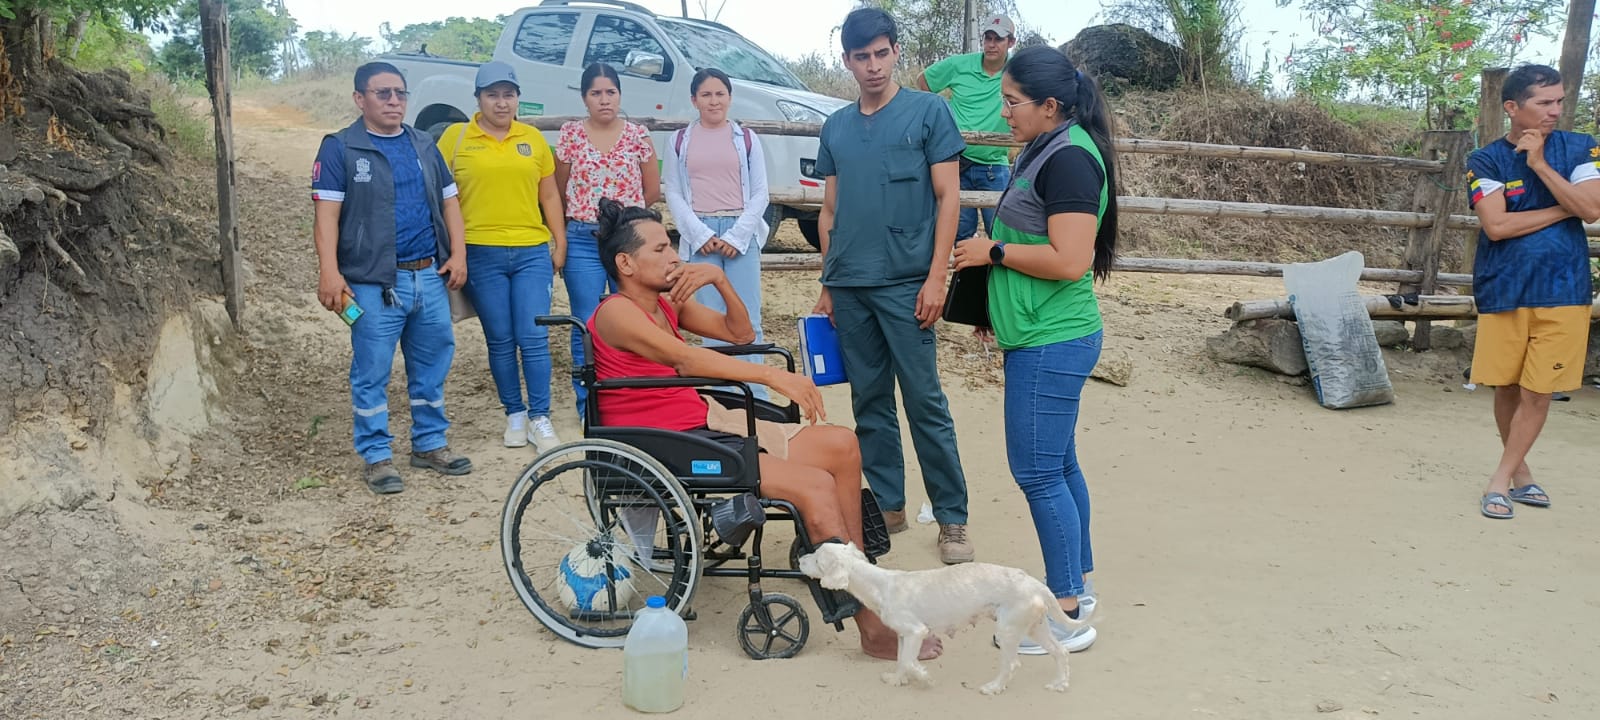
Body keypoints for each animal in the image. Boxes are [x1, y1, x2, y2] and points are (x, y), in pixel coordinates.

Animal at [797, 542, 1087, 695]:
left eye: (817, 559)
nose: (799, 559)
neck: (881, 585)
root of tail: (1034, 583)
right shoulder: (903, 635)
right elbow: (901, 660)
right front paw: (897, 679)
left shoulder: (916, 632)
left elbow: (910, 661)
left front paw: (924, 678)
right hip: (1035, 627)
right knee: (1060, 652)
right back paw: (1060, 683)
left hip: (1008, 630)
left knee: (1012, 664)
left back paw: (993, 687)